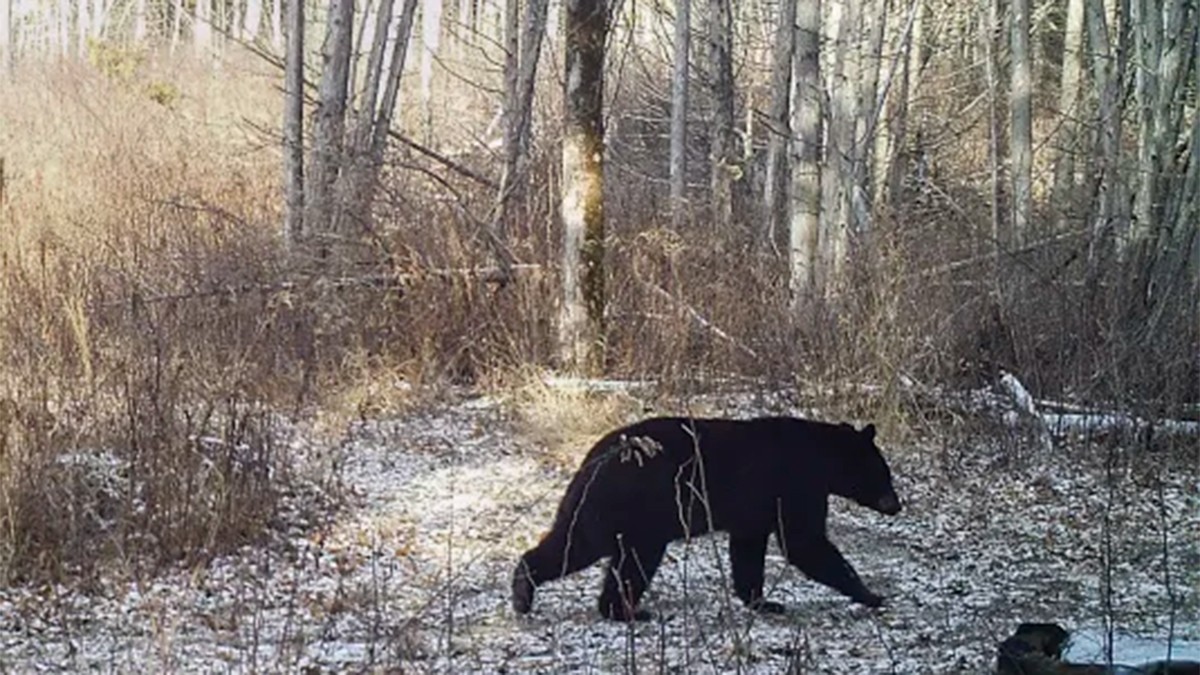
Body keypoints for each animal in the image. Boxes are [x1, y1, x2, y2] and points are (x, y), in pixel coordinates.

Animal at [511, 415, 902, 621]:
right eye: (883, 473)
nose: (896, 505)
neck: (821, 458)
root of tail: (594, 458)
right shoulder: (795, 487)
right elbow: (805, 542)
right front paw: (871, 594)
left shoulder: (753, 512)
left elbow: (748, 551)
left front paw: (762, 601)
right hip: (629, 510)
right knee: (596, 550)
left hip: (606, 510)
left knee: (582, 545)